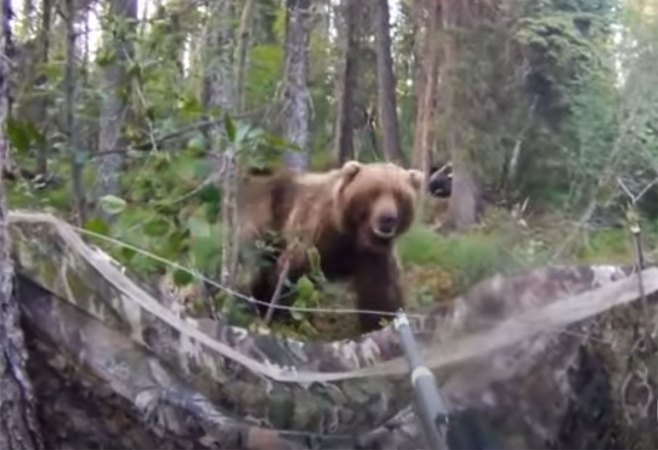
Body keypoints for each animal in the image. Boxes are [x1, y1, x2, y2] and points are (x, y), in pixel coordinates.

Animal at [236, 160, 425, 333]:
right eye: (374, 192)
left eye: (400, 196)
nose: (388, 218)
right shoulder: (315, 235)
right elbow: (294, 276)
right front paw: (289, 318)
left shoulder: (371, 255)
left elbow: (381, 291)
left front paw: (381, 322)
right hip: (264, 220)